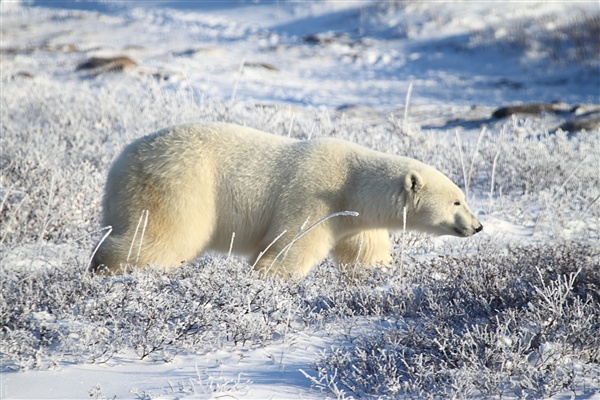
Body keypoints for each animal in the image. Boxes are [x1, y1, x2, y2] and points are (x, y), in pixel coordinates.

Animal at [90, 122, 482, 278]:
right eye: (457, 202)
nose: (478, 226)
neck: (352, 182)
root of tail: (121, 161)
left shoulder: (354, 219)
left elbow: (365, 250)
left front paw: (379, 275)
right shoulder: (314, 196)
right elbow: (290, 246)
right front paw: (267, 281)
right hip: (181, 184)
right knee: (164, 235)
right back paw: (111, 269)